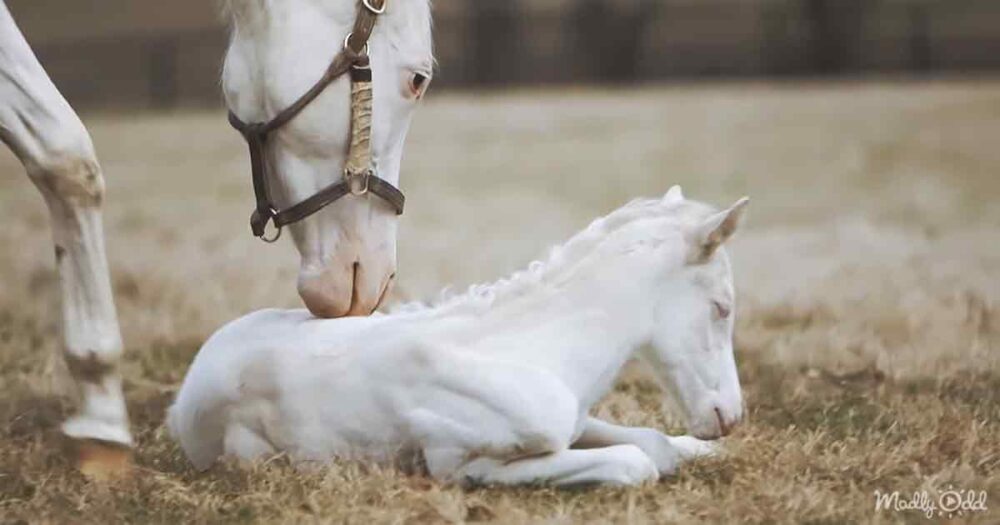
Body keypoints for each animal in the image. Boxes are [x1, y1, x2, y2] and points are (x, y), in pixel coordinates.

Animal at [169, 187, 749, 486]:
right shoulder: (459, 462)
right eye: (721, 308)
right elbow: (637, 463)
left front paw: (701, 451)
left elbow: (654, 443)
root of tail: (184, 395)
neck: (538, 347)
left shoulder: (576, 419)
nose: (729, 417)